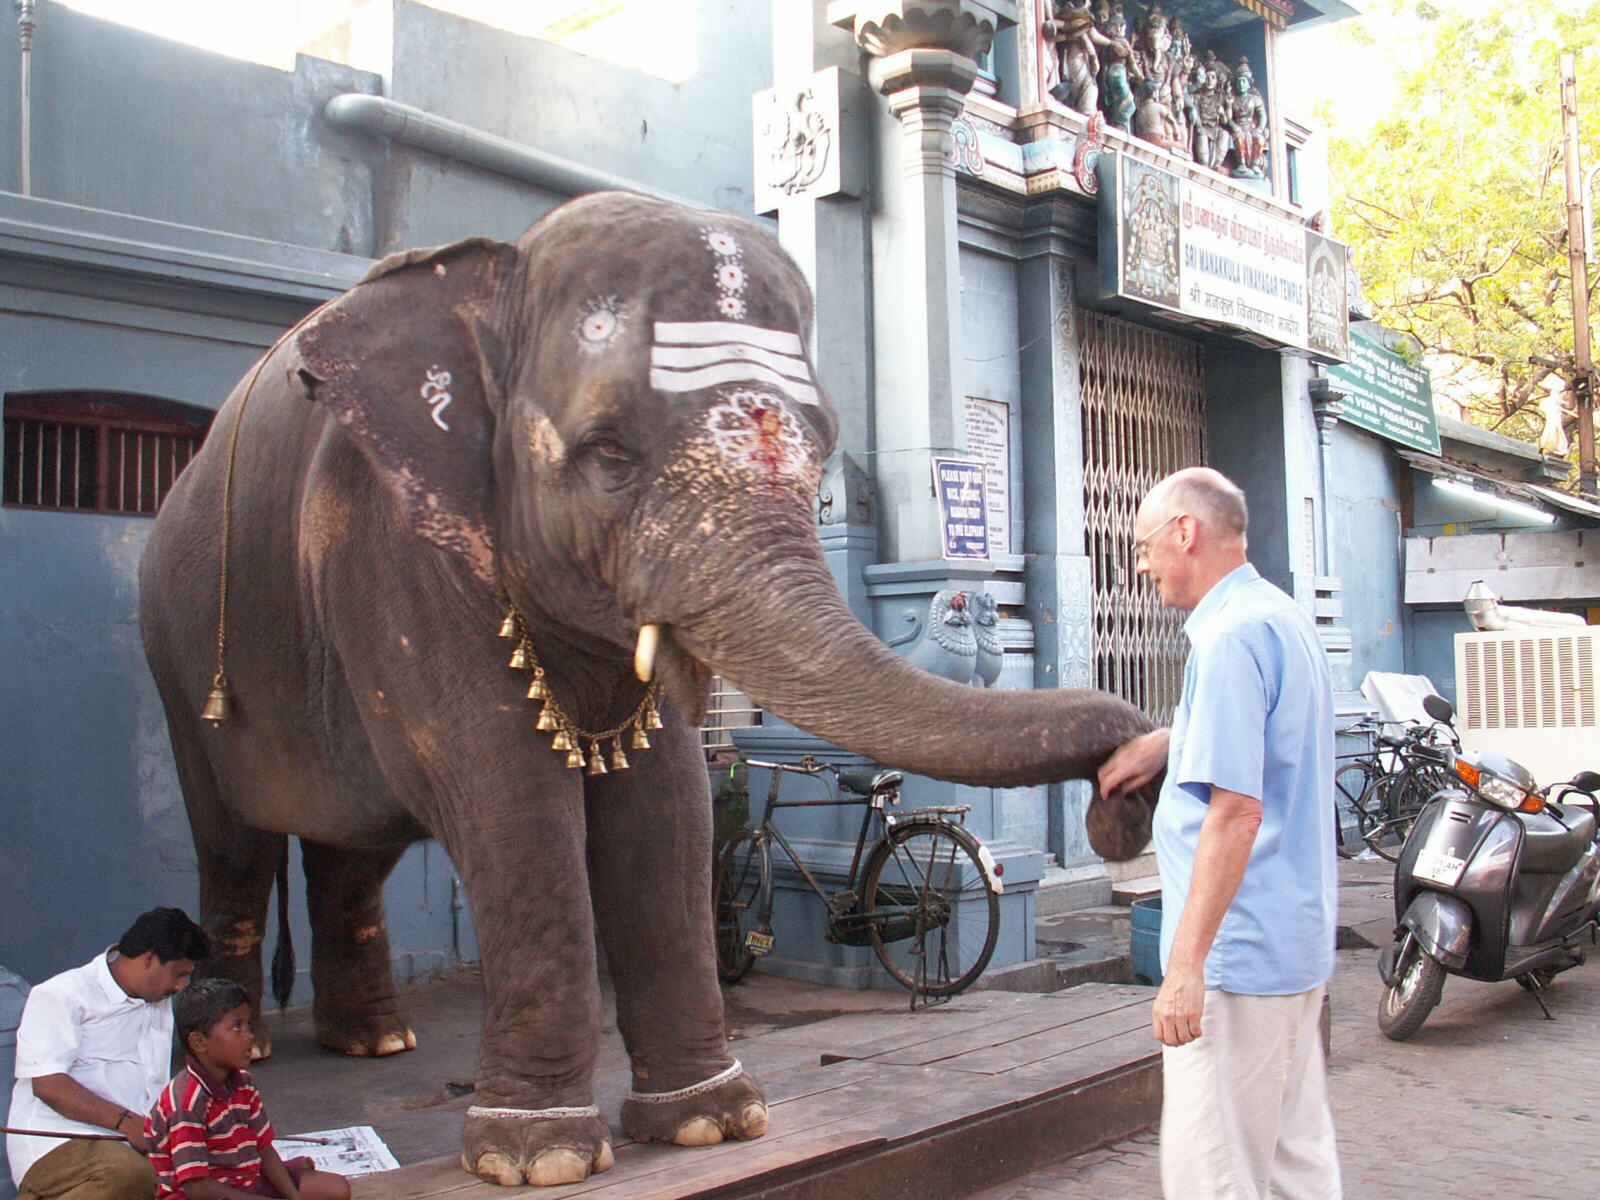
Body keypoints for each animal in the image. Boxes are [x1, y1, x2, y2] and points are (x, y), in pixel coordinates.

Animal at [137, 192, 1158, 1190]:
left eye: (824, 447)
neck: (494, 277)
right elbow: (510, 795)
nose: (1124, 793)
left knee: (354, 850)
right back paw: (249, 1050)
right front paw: (539, 1156)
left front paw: (714, 1123)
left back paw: (380, 1042)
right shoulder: (395, 546)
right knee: (233, 842)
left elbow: (666, 804)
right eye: (607, 454)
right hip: (175, 655)